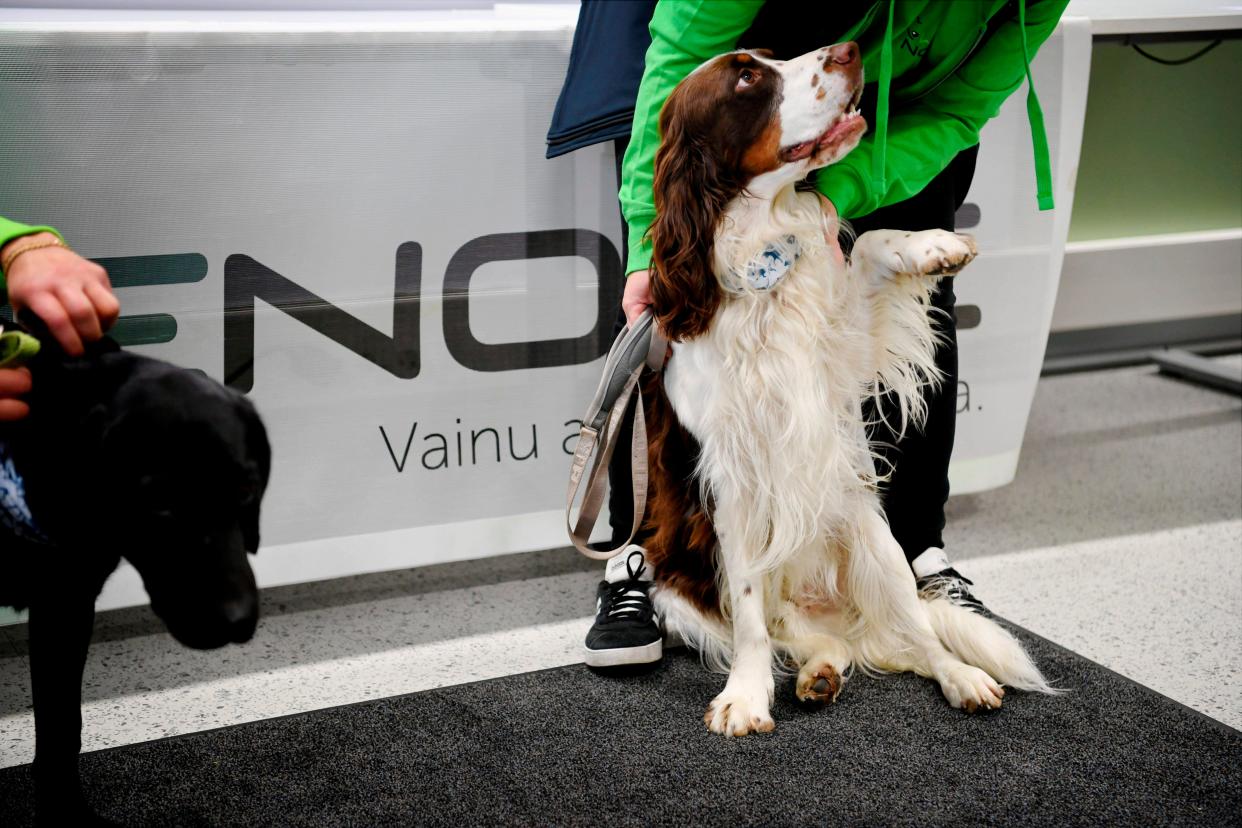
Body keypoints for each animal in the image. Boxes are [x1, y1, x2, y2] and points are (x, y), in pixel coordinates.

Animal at [635, 43, 1053, 739]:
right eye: (746, 77)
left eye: (769, 55)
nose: (850, 51)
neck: (761, 262)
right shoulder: (732, 486)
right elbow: (750, 617)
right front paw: (745, 698)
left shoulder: (843, 357)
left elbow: (871, 250)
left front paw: (932, 245)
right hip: (674, 588)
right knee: (797, 636)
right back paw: (819, 673)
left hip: (878, 548)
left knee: (918, 639)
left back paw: (959, 677)